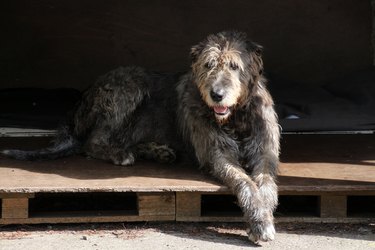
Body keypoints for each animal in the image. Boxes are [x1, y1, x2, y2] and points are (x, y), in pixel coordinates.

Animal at [2, 30, 280, 243]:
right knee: (94, 142)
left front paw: (265, 212)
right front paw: (259, 220)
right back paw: (122, 154)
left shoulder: (264, 150)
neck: (235, 117)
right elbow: (245, 182)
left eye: (234, 66)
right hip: (129, 87)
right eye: (208, 65)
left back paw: (158, 151)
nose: (217, 95)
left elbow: (265, 181)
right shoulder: (216, 154)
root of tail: (83, 99)